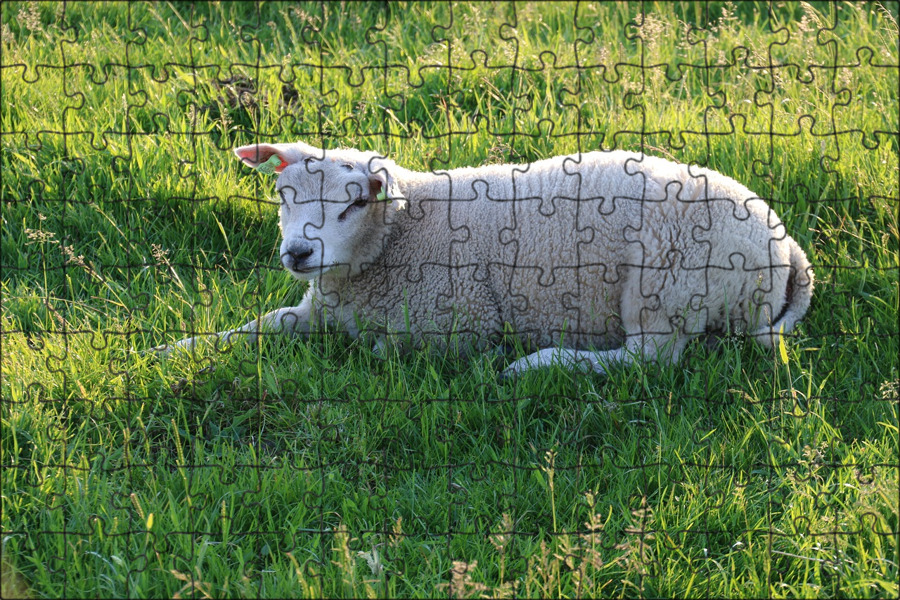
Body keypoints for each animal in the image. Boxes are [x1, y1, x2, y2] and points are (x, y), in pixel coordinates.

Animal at [160, 142, 816, 376]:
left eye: (354, 203)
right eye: (282, 194)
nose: (297, 252)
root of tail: (786, 247)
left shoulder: (457, 323)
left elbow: (386, 350)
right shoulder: (316, 308)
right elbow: (253, 327)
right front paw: (171, 349)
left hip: (667, 285)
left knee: (647, 360)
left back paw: (536, 363)